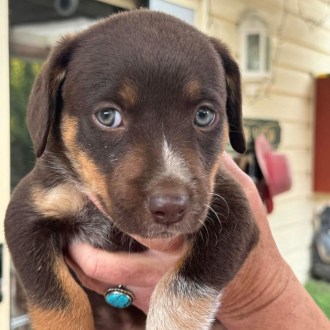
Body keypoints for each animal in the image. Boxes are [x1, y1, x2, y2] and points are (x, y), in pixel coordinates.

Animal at [4, 9, 258, 330]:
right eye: (107, 116)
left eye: (204, 115)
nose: (170, 208)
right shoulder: (26, 215)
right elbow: (60, 301)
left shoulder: (234, 213)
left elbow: (182, 288)